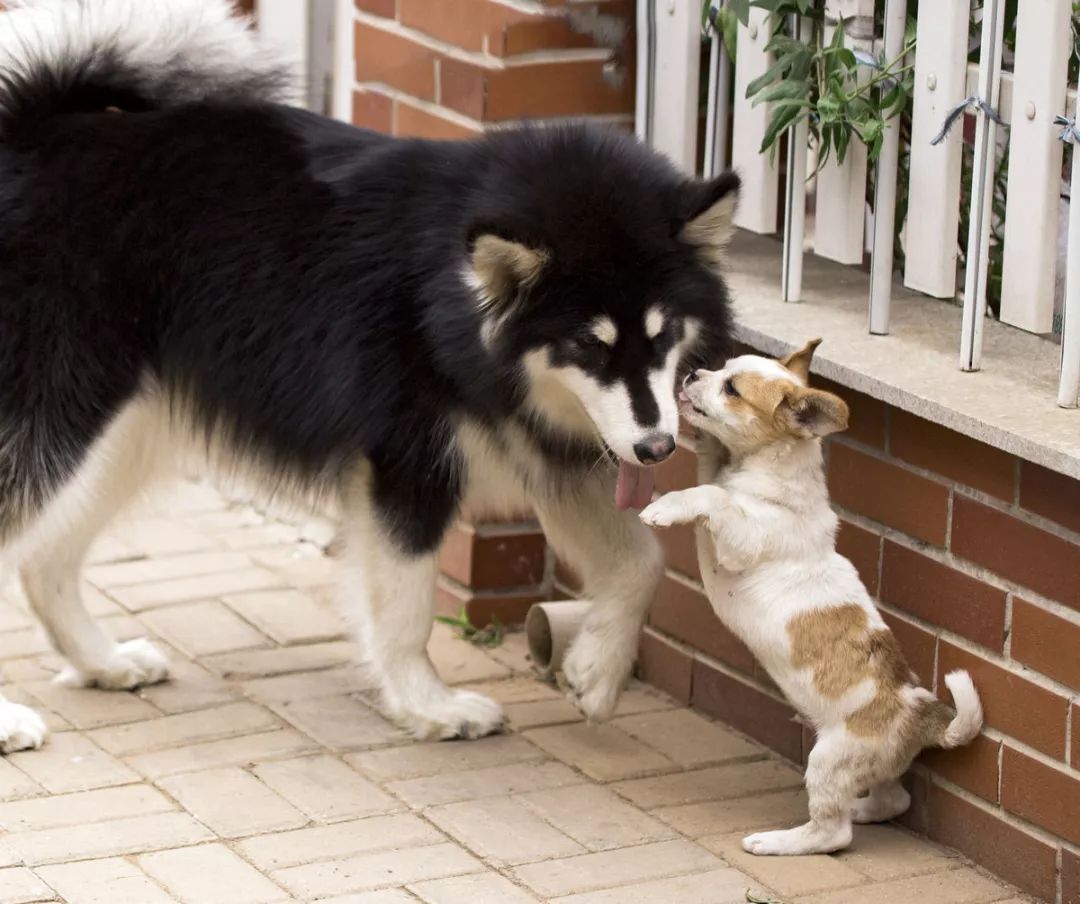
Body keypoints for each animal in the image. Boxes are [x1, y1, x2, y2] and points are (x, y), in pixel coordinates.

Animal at [0, 0, 734, 747]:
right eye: (589, 345)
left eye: (662, 335)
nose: (658, 449)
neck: (450, 299)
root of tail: (31, 132)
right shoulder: (410, 464)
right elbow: (407, 607)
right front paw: (429, 706)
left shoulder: (553, 445)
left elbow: (643, 560)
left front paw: (597, 670)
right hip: (58, 416)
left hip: (116, 434)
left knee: (41, 558)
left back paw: (102, 661)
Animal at [639, 339, 989, 855]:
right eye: (722, 368)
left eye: (732, 388)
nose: (693, 374)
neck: (759, 472)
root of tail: (921, 715)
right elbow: (709, 473)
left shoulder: (740, 542)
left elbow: (711, 495)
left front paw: (665, 507)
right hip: (871, 766)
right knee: (893, 799)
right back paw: (863, 809)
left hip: (830, 759)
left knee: (833, 833)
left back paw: (777, 841)